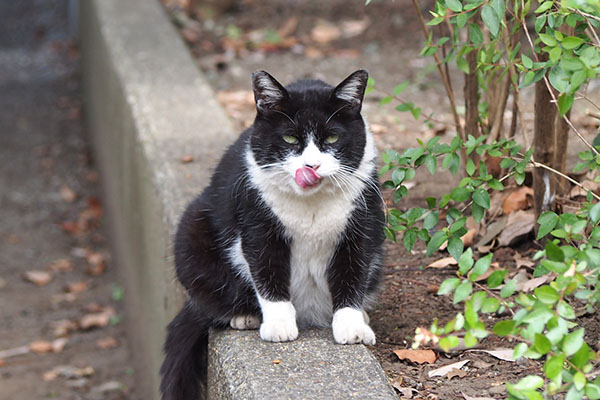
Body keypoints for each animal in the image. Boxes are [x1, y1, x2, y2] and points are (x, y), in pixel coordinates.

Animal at [159, 69, 384, 400]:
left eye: (332, 137)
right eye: (290, 137)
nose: (311, 165)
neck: (311, 204)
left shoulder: (361, 227)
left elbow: (353, 275)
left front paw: (351, 326)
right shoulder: (258, 222)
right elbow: (267, 272)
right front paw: (278, 325)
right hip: (191, 232)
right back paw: (245, 317)